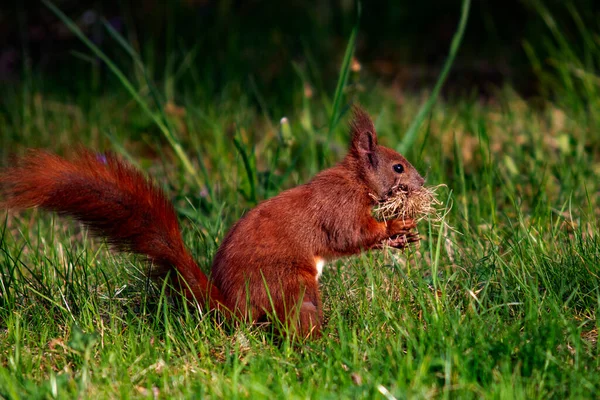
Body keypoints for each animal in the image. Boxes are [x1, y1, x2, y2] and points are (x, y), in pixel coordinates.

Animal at [1, 107, 422, 338]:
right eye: (398, 166)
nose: (421, 182)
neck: (355, 179)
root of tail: (232, 307)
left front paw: (400, 238)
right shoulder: (339, 207)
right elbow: (351, 235)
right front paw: (395, 228)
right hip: (291, 285)